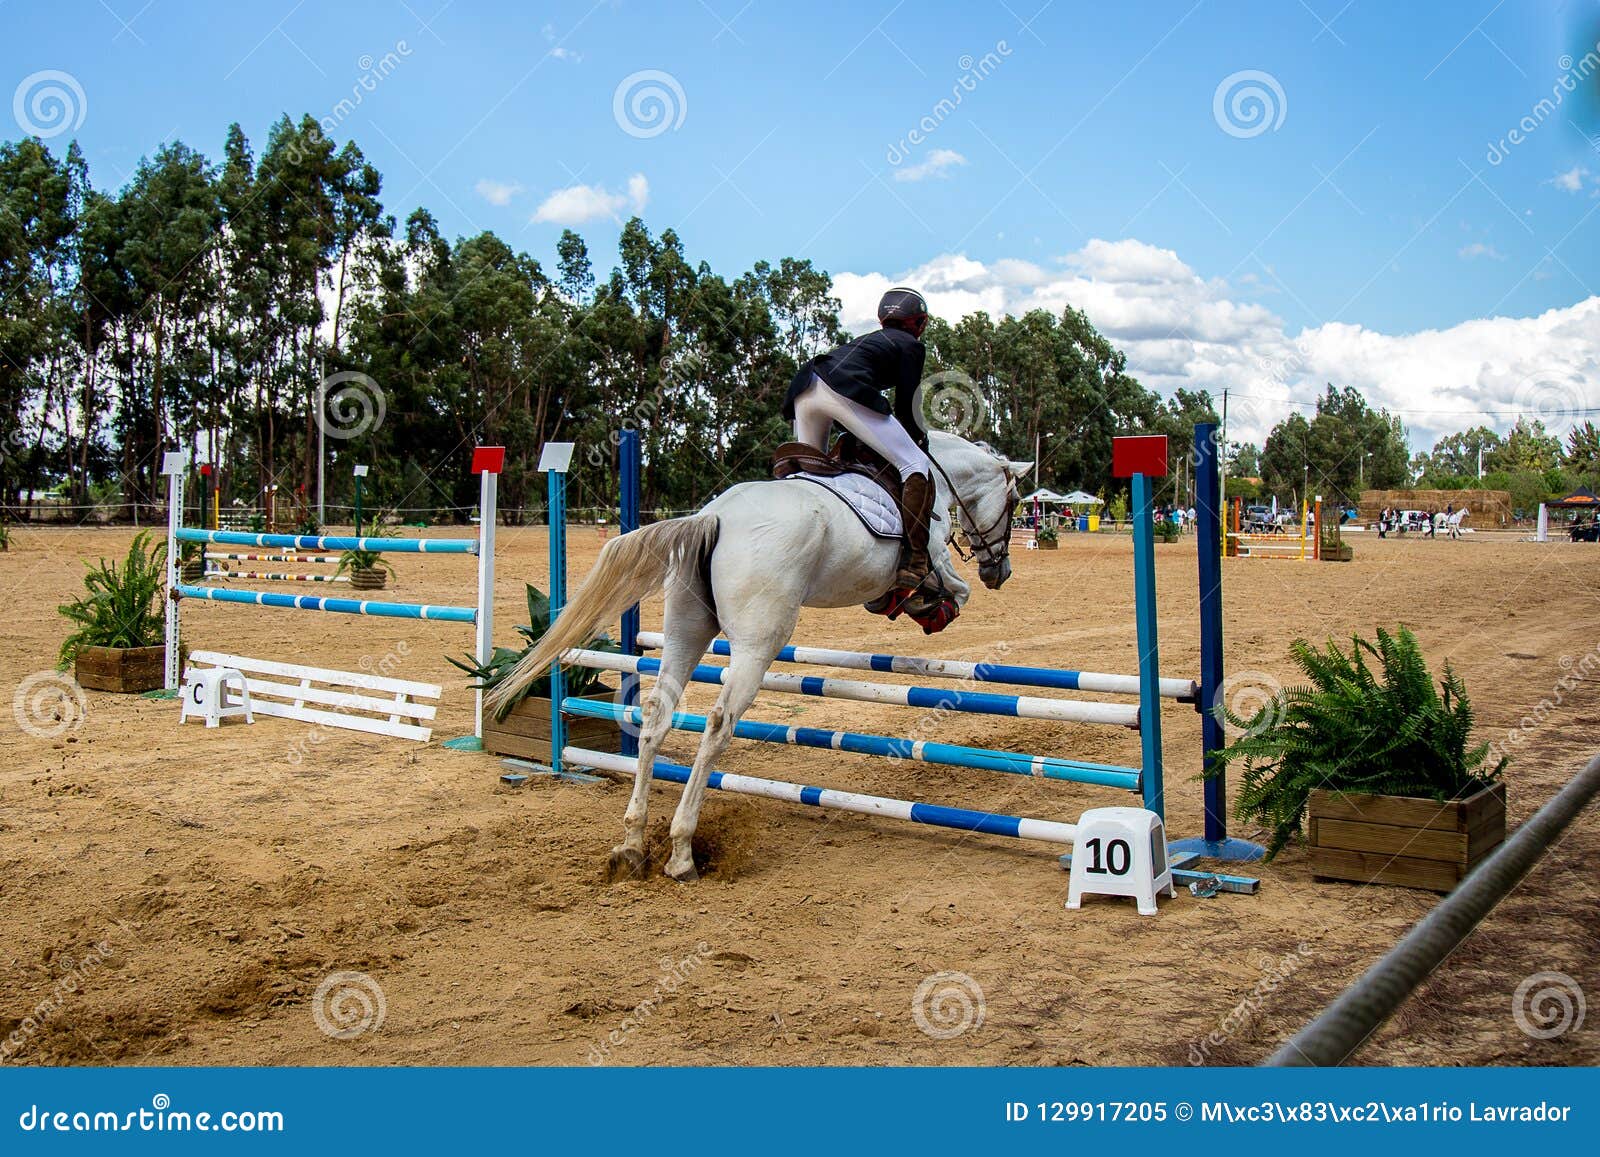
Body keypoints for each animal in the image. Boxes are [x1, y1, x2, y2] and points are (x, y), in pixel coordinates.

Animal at [480, 428, 1030, 883]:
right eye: (1017, 501)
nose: (998, 571)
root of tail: (714, 515)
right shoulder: (935, 557)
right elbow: (953, 590)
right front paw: (927, 605)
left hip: (684, 630)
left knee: (657, 717)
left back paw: (633, 844)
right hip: (758, 644)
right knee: (717, 726)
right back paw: (681, 852)